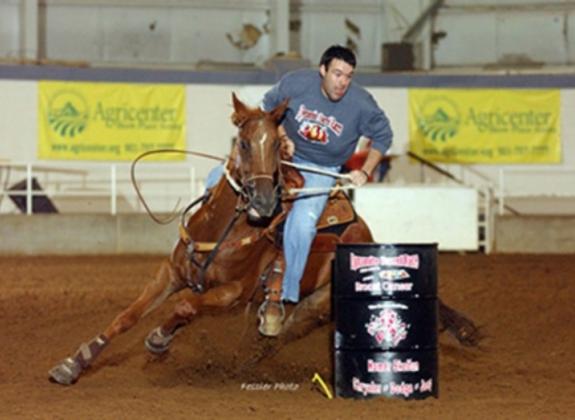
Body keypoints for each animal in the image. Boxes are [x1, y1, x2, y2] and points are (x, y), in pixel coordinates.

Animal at [48, 93, 476, 386]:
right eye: (242, 142)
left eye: (274, 145)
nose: (265, 201)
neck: (225, 228)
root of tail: (367, 234)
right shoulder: (170, 272)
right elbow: (127, 316)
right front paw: (72, 364)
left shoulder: (233, 293)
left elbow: (185, 307)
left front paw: (157, 340)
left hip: (318, 303)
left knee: (282, 332)